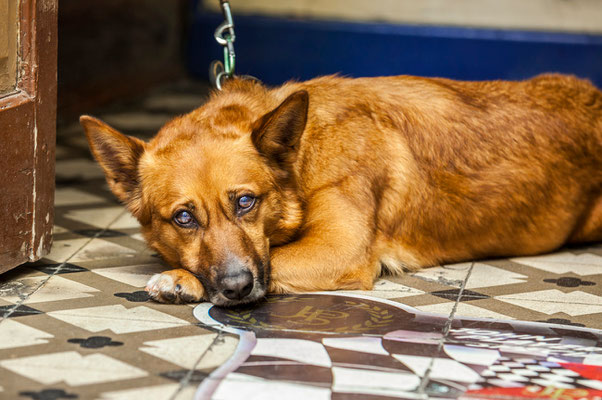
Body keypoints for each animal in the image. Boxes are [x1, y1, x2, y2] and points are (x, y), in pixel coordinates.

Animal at [81, 74, 600, 306]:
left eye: (246, 202)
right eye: (184, 218)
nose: (236, 288)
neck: (304, 160)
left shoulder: (337, 250)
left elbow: (273, 262)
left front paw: (180, 279)